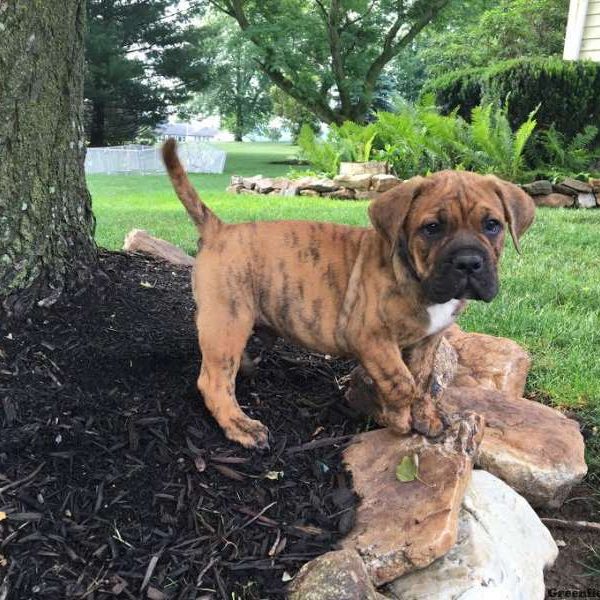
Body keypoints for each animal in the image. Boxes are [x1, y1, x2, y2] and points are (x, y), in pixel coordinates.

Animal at [161, 141, 536, 448]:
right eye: (432, 229)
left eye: (492, 225)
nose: (468, 262)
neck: (414, 275)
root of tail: (218, 229)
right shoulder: (372, 338)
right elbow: (401, 382)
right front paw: (399, 420)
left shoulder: (426, 342)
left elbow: (422, 381)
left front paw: (425, 416)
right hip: (228, 318)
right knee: (213, 380)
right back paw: (240, 426)